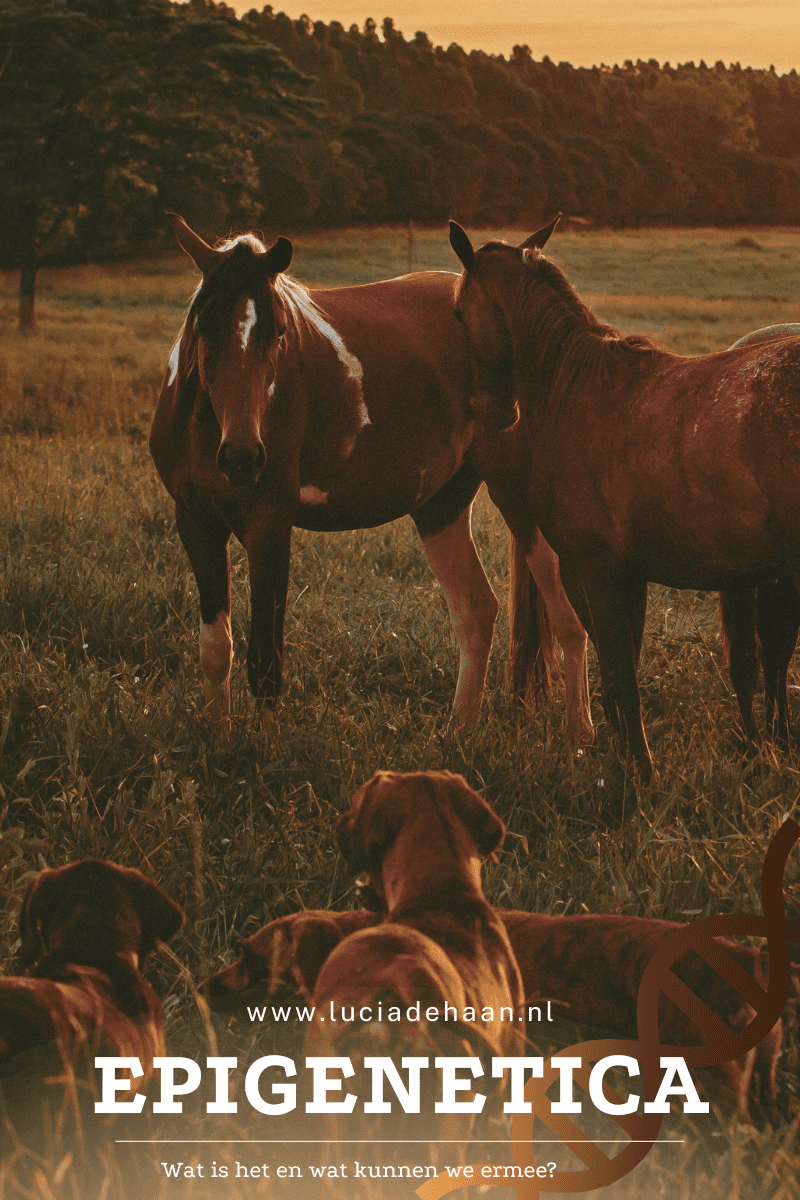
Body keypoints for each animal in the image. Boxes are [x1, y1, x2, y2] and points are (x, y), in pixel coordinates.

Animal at [148, 216, 594, 739]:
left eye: (278, 331)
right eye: (204, 324)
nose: (243, 457)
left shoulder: (269, 526)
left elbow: (266, 661)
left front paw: (262, 747)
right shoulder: (196, 523)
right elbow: (217, 650)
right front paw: (218, 737)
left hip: (523, 506)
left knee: (567, 620)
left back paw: (580, 735)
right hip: (440, 506)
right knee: (477, 609)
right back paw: (460, 734)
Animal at [450, 220, 800, 782]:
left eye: (460, 312)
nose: (494, 412)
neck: (576, 388)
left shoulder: (593, 571)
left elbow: (619, 679)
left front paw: (638, 774)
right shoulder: (627, 576)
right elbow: (622, 678)